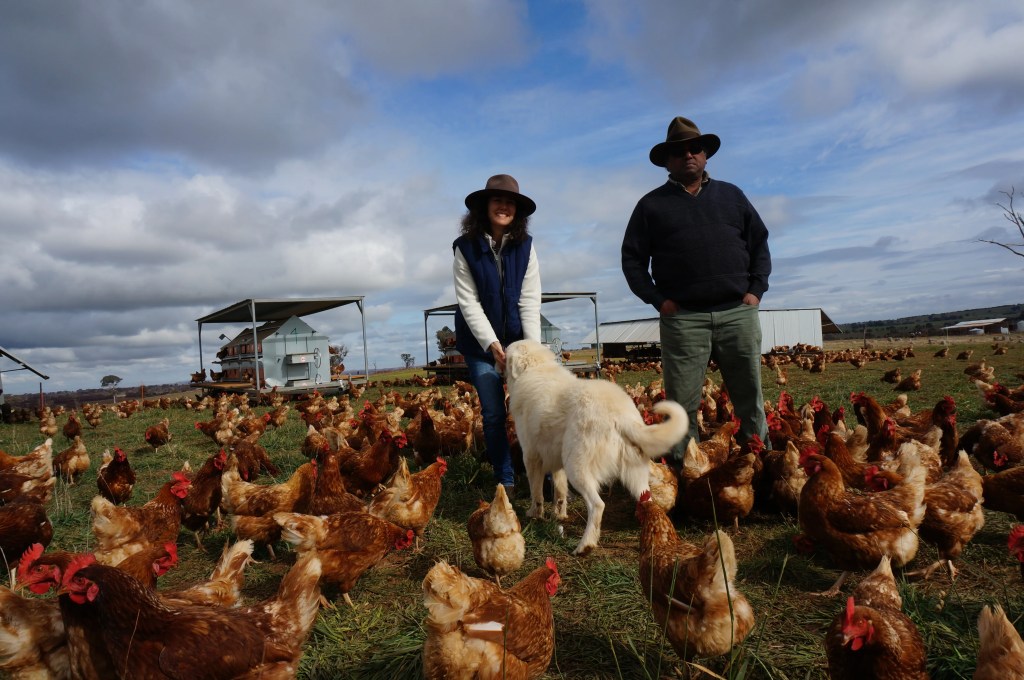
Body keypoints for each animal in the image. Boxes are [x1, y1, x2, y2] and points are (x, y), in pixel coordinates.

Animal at [503, 337, 688, 557]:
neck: (535, 368)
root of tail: (620, 414)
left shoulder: (531, 457)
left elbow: (536, 492)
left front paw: (534, 514)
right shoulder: (557, 461)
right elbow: (560, 492)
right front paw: (559, 515)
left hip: (577, 468)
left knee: (597, 505)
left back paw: (585, 545)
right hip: (634, 475)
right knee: (648, 502)